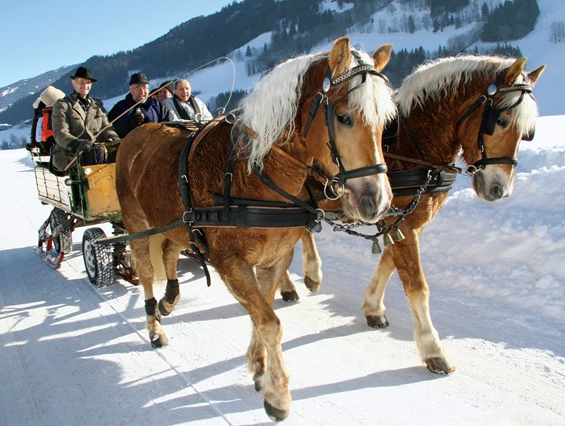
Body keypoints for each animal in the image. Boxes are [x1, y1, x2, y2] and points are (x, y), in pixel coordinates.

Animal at [115, 37, 396, 422]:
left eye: (386, 121)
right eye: (343, 117)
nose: (376, 201)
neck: (252, 172)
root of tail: (136, 133)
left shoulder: (276, 257)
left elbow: (260, 313)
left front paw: (259, 365)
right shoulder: (230, 262)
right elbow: (269, 322)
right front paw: (278, 395)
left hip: (176, 223)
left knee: (171, 251)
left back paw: (170, 300)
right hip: (137, 224)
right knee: (145, 272)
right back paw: (155, 326)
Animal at [280, 54, 544, 376]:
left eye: (528, 133)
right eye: (502, 121)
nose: (500, 189)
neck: (412, 144)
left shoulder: (405, 221)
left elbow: (389, 263)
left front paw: (373, 307)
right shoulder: (400, 221)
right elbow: (416, 285)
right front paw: (433, 349)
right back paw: (303, 276)